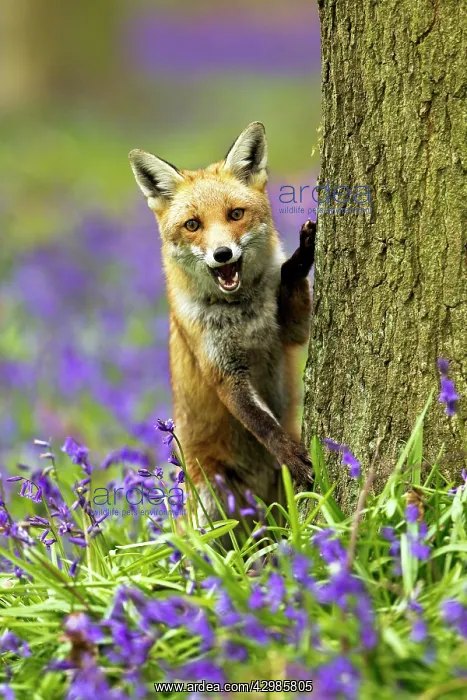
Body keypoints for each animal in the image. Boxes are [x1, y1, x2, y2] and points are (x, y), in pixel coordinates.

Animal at [129, 122, 315, 524]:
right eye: (193, 225)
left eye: (235, 214)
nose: (222, 254)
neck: (243, 314)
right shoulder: (224, 372)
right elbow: (263, 425)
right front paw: (292, 455)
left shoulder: (292, 334)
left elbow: (291, 285)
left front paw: (301, 255)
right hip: (211, 504)